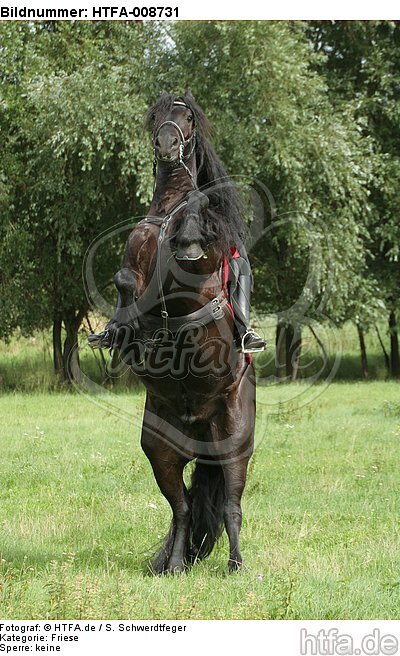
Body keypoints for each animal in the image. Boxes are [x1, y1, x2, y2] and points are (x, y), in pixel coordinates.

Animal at [92, 92, 256, 574]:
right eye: (157, 116)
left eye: (186, 117)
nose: (166, 144)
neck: (170, 210)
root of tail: (197, 424)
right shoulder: (134, 263)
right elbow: (125, 279)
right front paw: (121, 330)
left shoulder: (201, 271)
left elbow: (189, 255)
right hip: (161, 450)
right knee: (182, 507)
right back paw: (176, 565)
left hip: (234, 444)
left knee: (231, 505)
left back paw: (237, 566)